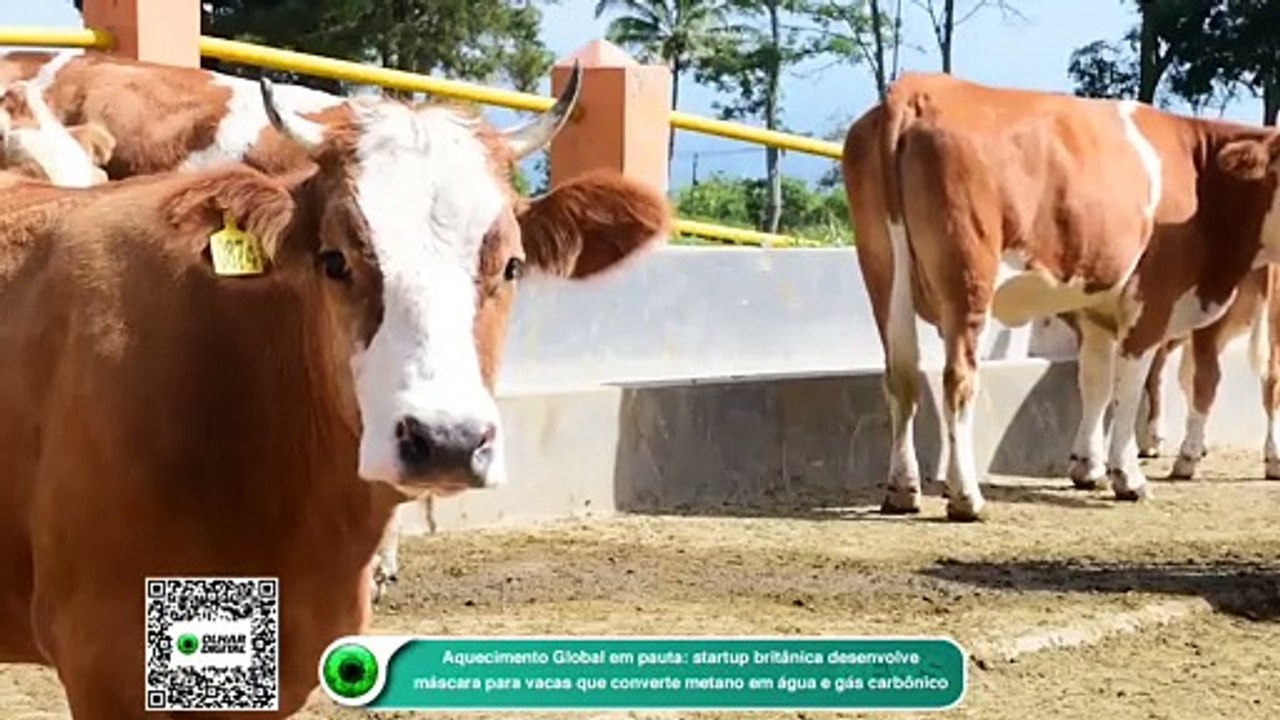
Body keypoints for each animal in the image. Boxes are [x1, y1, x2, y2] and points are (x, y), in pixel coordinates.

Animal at [841, 71, 1280, 522]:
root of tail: (921, 88)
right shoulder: (1151, 306)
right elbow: (1128, 388)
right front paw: (1128, 478)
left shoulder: (1097, 311)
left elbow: (1095, 383)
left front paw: (1089, 468)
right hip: (968, 279)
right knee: (957, 380)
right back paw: (966, 497)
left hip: (883, 272)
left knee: (901, 378)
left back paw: (903, 489)